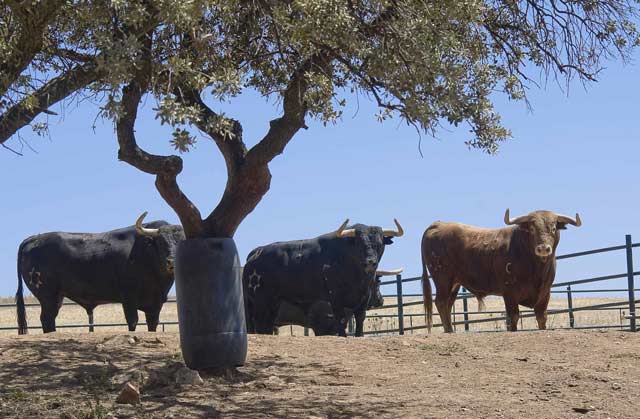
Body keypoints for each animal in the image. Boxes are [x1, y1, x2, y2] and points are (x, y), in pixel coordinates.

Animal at [15, 213, 184, 334]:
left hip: (57, 296)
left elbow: (152, 325)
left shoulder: (155, 304)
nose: (172, 262)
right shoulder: (128, 297)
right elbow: (132, 321)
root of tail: (35, 238)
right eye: (160, 242)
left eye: (182, 242)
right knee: (47, 318)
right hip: (46, 294)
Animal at [242, 220, 402, 338]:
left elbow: (360, 319)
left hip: (272, 304)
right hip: (260, 302)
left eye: (379, 244)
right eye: (359, 243)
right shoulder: (335, 299)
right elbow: (341, 320)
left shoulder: (363, 298)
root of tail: (256, 253)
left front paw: (359, 336)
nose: (370, 262)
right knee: (260, 325)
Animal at [422, 212, 584, 334]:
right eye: (532, 229)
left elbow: (541, 317)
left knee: (448, 304)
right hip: (442, 278)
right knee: (441, 302)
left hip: (454, 283)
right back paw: (449, 330)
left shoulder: (545, 293)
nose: (543, 248)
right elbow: (513, 317)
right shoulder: (510, 292)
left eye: (553, 228)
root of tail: (437, 224)